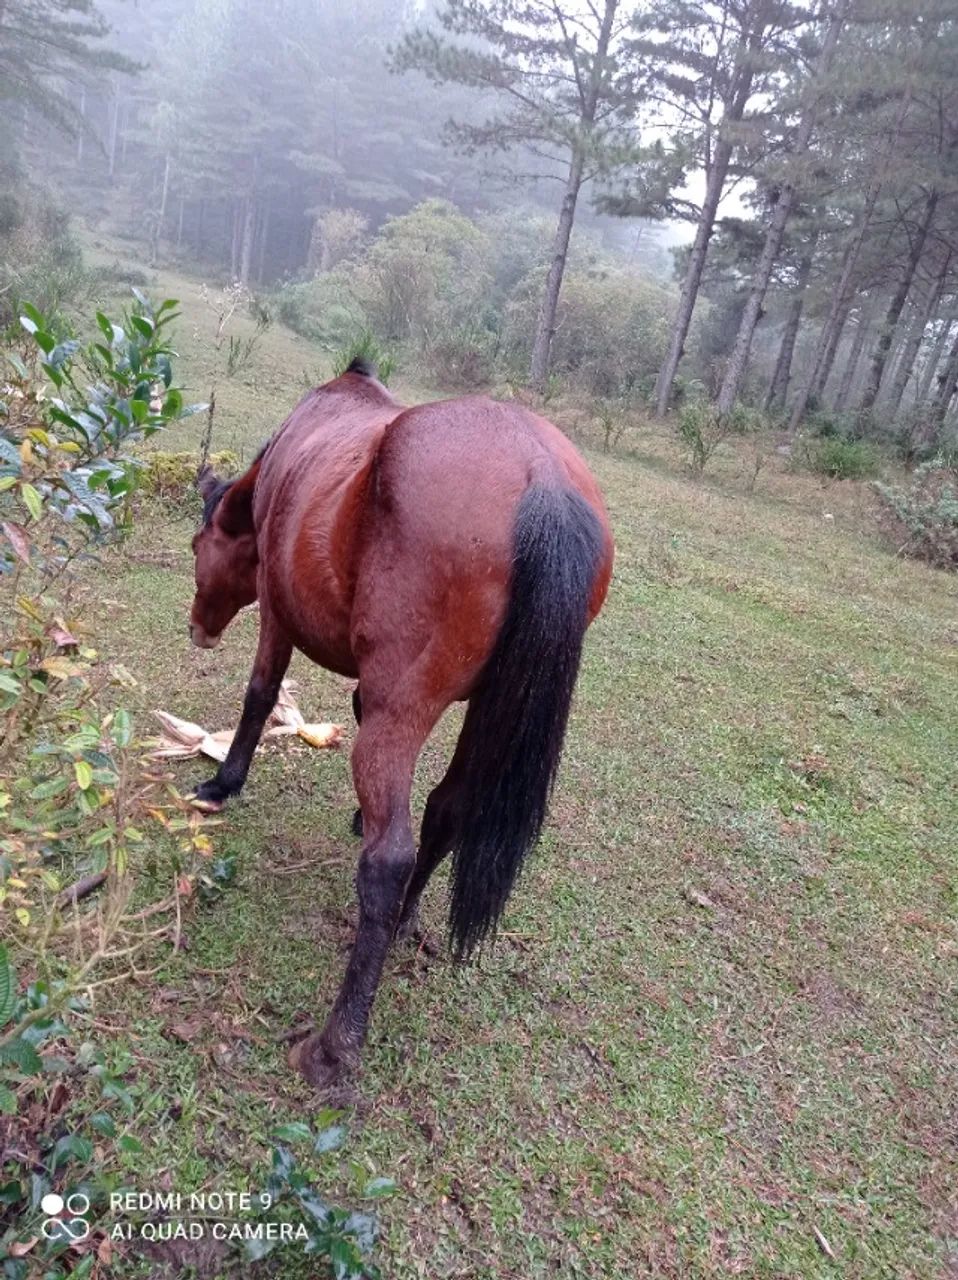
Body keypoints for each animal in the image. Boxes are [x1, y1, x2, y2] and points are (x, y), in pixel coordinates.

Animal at [188, 359, 614, 1090]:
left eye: (198, 544)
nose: (198, 628)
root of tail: (544, 482)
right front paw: (359, 814)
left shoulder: (275, 611)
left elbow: (259, 695)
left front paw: (225, 780)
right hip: (482, 710)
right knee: (445, 810)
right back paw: (407, 914)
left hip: (407, 709)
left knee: (388, 861)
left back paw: (337, 1042)